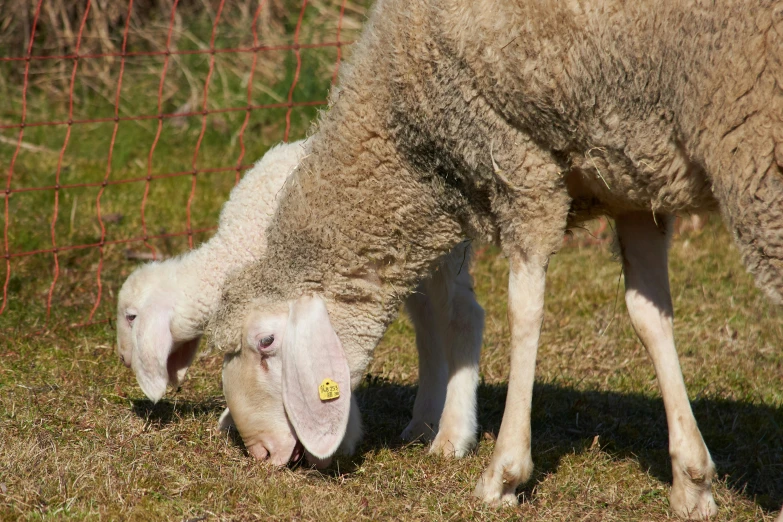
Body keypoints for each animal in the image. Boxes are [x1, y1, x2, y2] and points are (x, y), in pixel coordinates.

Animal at [116, 139, 484, 456]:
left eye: (131, 317)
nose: (122, 359)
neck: (236, 246)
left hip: (441, 250)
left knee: (463, 316)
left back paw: (451, 436)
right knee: (428, 325)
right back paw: (423, 423)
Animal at [210, 0, 783, 516]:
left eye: (265, 343)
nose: (260, 453)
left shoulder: (518, 160)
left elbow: (524, 310)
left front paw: (505, 472)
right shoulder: (634, 182)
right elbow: (649, 316)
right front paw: (692, 481)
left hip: (758, 151)